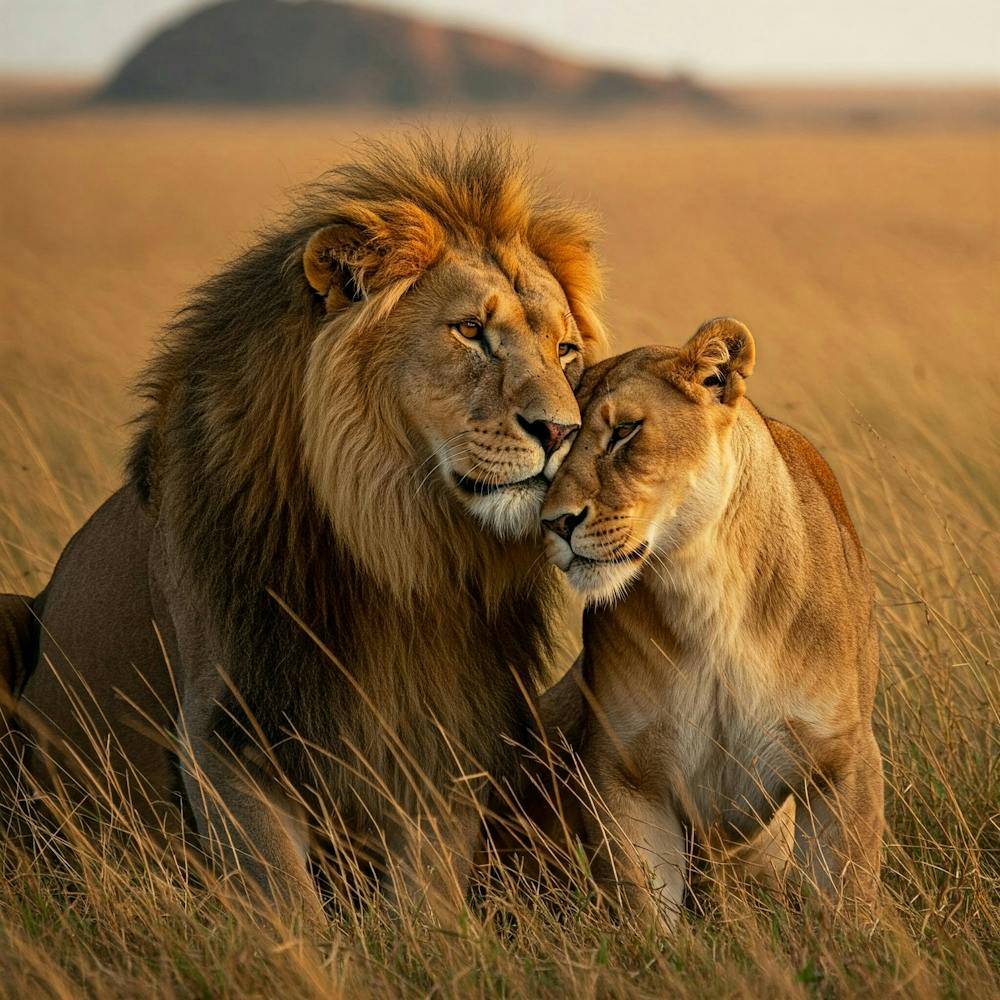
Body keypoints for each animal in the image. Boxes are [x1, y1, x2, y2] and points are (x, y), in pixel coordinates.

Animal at [8, 133, 608, 920]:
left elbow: (430, 906)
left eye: (565, 352)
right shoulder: (227, 735)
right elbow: (290, 908)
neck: (393, 545)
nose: (563, 431)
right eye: (471, 331)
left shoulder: (443, 741)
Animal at [537, 318, 884, 929]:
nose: (555, 523)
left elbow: (847, 900)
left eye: (624, 432)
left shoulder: (844, 762)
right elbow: (647, 909)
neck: (703, 590)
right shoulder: (624, 772)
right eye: (554, 444)